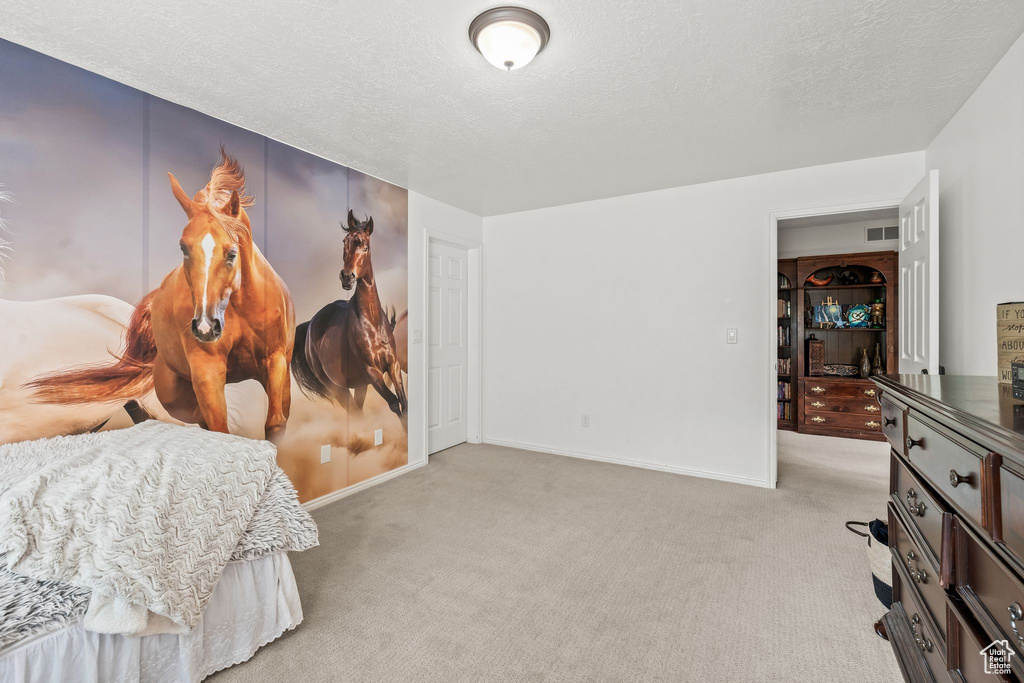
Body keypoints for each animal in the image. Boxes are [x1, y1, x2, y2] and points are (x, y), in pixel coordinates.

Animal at [25, 148, 296, 438]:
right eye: (184, 248)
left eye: (232, 253)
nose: (205, 327)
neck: (239, 307)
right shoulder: (207, 369)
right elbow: (219, 427)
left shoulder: (275, 361)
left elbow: (275, 423)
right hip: (176, 396)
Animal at [290, 210, 405, 428]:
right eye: (345, 242)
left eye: (365, 246)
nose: (347, 277)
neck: (373, 323)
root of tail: (310, 326)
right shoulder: (372, 372)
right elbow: (395, 403)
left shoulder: (392, 365)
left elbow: (404, 402)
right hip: (338, 388)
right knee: (355, 413)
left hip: (360, 385)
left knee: (358, 412)